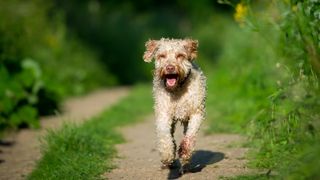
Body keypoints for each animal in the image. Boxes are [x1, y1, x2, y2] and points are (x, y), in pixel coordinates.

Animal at [143, 37, 208, 173]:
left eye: (180, 55)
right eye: (162, 55)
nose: (170, 68)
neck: (177, 89)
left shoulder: (196, 112)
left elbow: (191, 135)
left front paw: (185, 152)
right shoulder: (163, 113)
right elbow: (164, 134)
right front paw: (167, 154)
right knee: (171, 135)